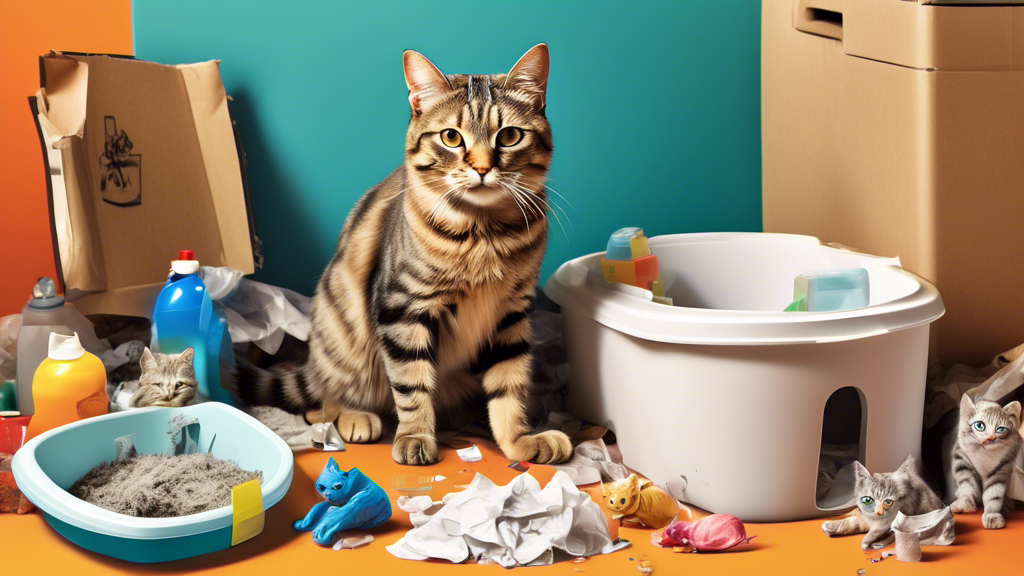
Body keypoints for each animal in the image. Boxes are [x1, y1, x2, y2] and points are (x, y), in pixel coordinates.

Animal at [236, 45, 577, 467]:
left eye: (510, 136)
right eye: (451, 137)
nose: (482, 167)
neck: (483, 234)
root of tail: (311, 364)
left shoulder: (512, 313)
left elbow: (509, 387)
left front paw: (518, 441)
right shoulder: (403, 308)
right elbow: (412, 385)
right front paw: (415, 436)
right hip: (341, 338)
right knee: (319, 403)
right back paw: (354, 417)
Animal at [946, 391, 1019, 528]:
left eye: (1001, 429)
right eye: (980, 425)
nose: (990, 438)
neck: (984, 455)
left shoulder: (1001, 468)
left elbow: (994, 493)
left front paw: (992, 516)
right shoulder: (962, 461)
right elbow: (967, 484)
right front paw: (963, 504)